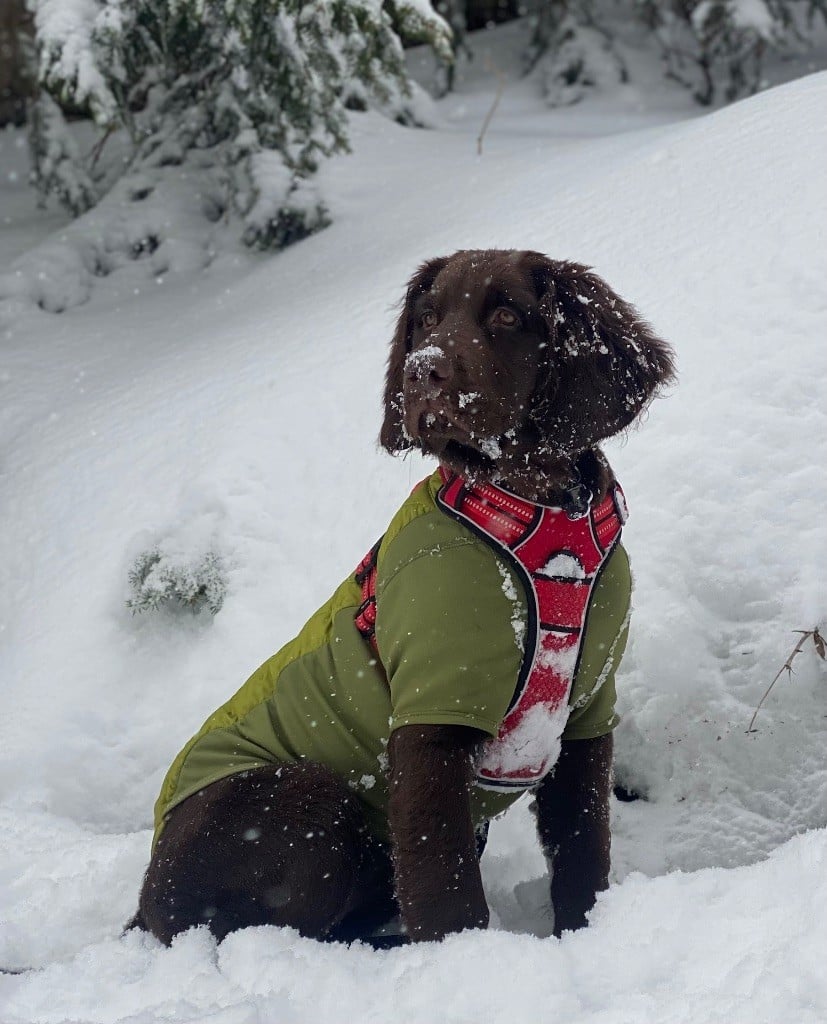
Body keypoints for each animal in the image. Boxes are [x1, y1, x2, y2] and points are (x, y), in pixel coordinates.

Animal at [131, 247, 671, 942]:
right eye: (428, 319)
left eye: (507, 315)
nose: (422, 372)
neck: (540, 520)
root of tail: (147, 899)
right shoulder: (432, 712)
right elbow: (444, 887)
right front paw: (464, 957)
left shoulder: (587, 714)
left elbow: (582, 851)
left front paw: (587, 933)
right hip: (303, 794)